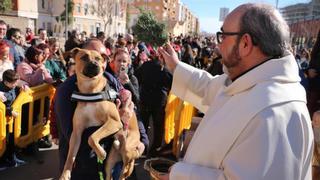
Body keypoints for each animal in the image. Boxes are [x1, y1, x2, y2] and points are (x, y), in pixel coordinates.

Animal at [60, 48, 140, 180]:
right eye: (84, 57)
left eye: (98, 58)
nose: (95, 64)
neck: (90, 91)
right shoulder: (76, 133)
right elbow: (70, 156)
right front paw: (65, 174)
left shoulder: (114, 121)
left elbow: (92, 137)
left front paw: (100, 152)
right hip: (110, 161)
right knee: (114, 173)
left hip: (128, 147)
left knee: (130, 161)